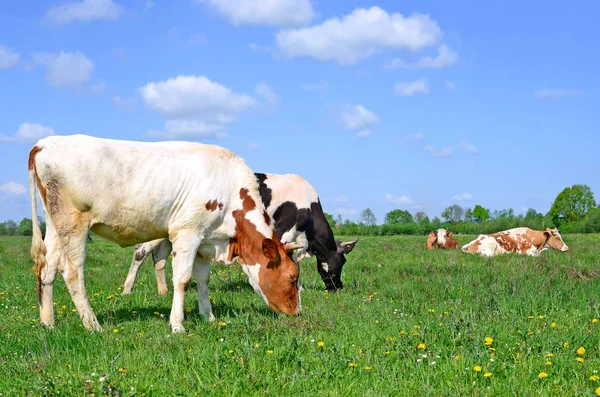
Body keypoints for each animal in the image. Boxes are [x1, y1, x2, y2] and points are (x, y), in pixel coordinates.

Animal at [27, 135, 302, 332]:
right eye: (292, 277)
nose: (297, 313)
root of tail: (43, 144)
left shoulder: (205, 241)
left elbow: (203, 280)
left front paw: (209, 316)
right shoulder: (187, 233)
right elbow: (182, 280)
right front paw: (178, 324)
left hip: (54, 225)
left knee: (47, 268)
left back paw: (48, 323)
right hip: (74, 224)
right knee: (72, 272)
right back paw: (93, 325)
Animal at [120, 172, 356, 292]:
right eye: (340, 262)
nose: (338, 288)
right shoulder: (284, 230)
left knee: (159, 257)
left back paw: (163, 291)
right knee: (140, 252)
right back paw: (127, 289)